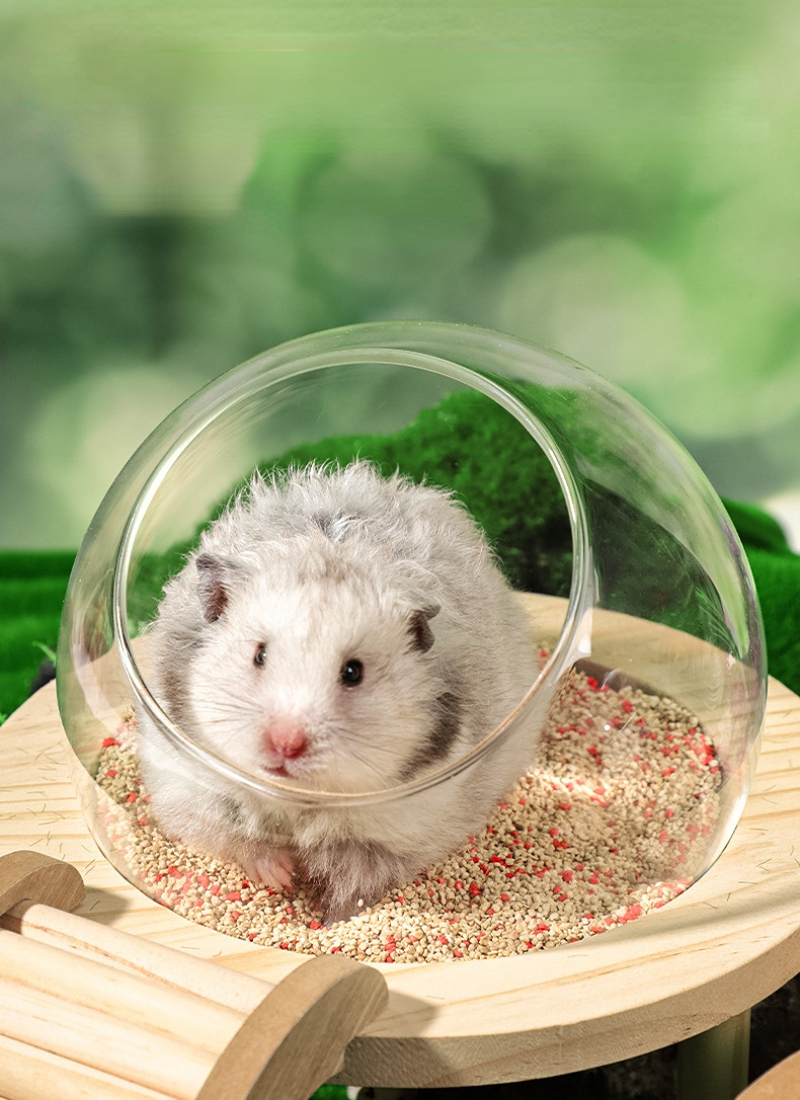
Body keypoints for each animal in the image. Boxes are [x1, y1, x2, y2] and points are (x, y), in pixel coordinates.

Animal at [136, 461, 538, 923]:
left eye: (353, 672)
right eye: (258, 654)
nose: (286, 744)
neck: (298, 800)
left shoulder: (398, 833)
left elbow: (355, 885)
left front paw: (326, 922)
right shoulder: (192, 790)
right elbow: (242, 841)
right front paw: (282, 876)